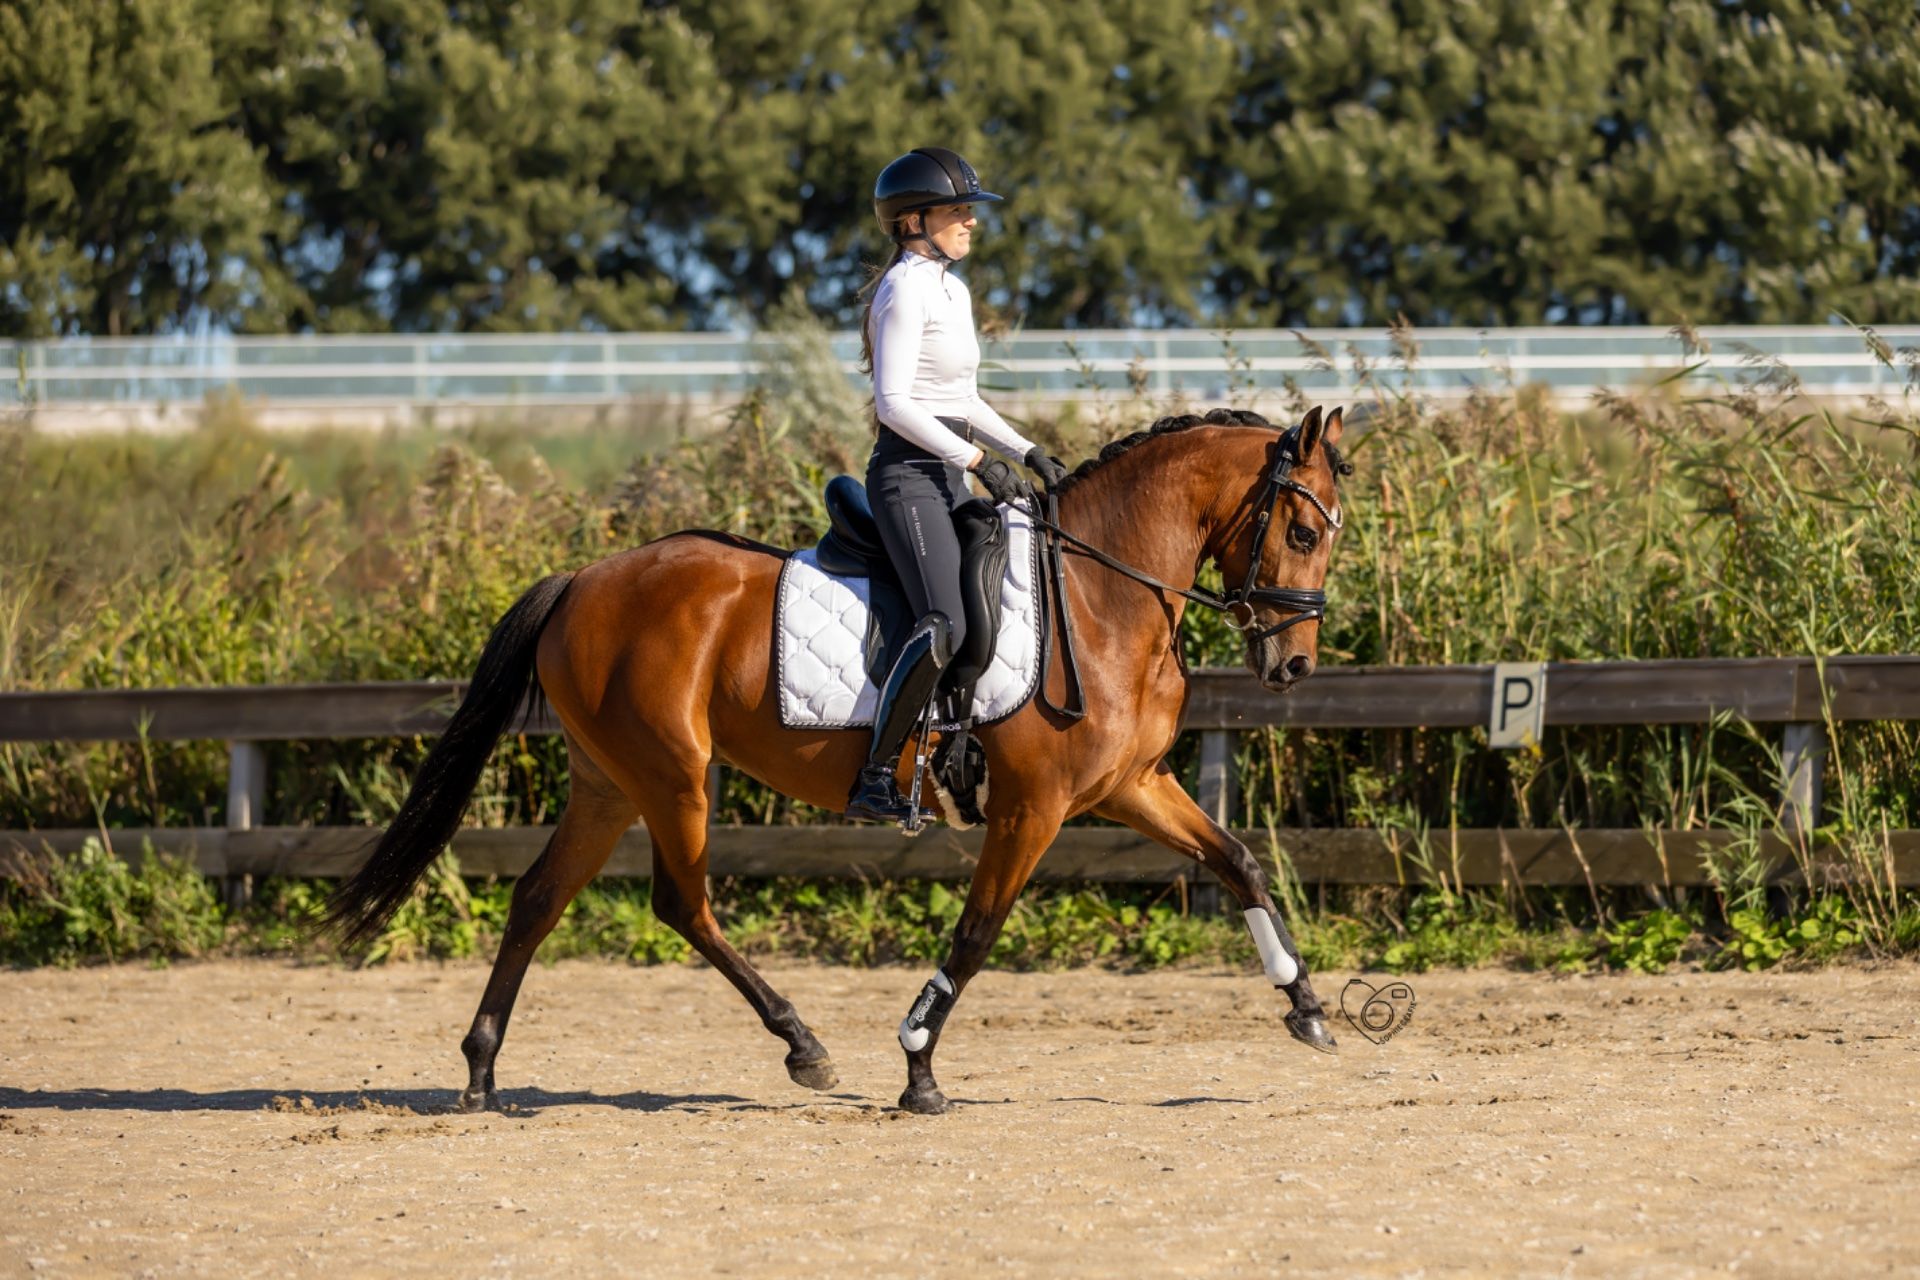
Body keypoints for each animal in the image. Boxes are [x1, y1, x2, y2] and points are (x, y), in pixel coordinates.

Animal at [325, 403, 1349, 1115]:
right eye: (1303, 532)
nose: (1293, 666)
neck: (1100, 594)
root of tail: (583, 579)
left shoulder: (1132, 786)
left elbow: (1238, 859)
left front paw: (1306, 1007)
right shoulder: (1033, 809)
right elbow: (976, 934)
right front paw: (919, 1066)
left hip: (607, 782)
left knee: (539, 898)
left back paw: (481, 1070)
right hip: (672, 776)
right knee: (682, 903)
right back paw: (802, 1045)